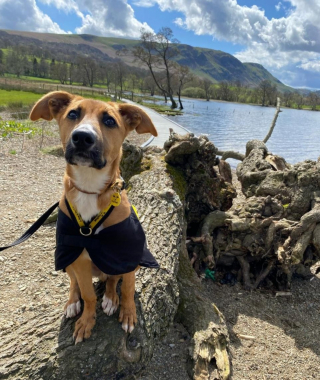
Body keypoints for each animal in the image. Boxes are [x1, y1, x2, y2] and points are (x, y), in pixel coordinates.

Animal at [30, 90, 159, 342]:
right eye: (72, 114)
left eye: (109, 120)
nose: (82, 137)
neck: (90, 188)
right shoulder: (77, 256)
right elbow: (88, 295)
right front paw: (86, 322)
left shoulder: (128, 254)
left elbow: (128, 288)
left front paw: (128, 313)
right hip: (68, 259)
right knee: (76, 283)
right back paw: (73, 302)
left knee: (113, 279)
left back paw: (111, 298)